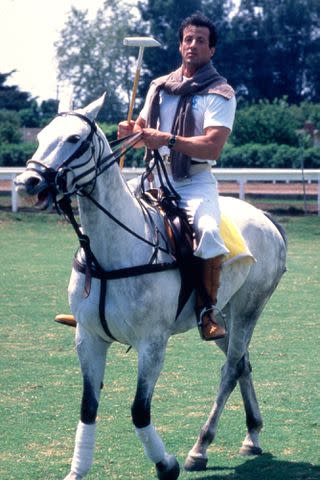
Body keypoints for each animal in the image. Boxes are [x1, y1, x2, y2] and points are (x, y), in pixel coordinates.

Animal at [15, 94, 288, 480]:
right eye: (41, 136)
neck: (109, 256)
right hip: (222, 316)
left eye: (73, 139)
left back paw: (200, 448)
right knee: (243, 363)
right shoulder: (88, 338)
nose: (28, 181)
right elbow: (87, 406)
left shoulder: (152, 344)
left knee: (232, 368)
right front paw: (76, 471)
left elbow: (139, 410)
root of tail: (266, 218)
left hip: (249, 308)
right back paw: (252, 436)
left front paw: (166, 464)